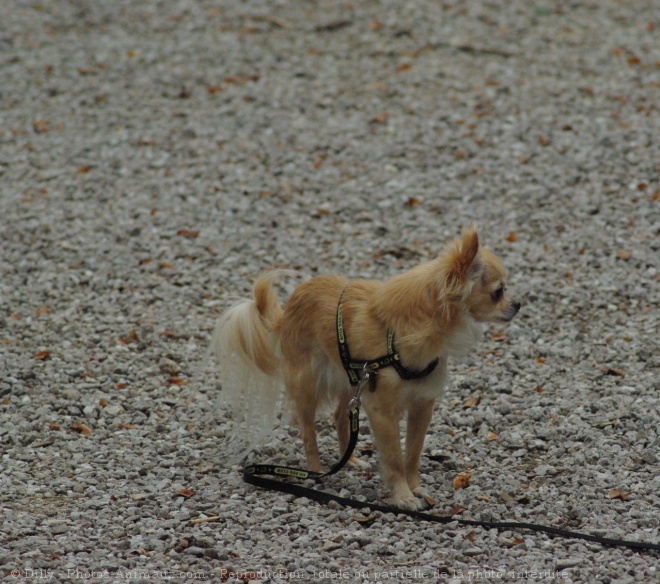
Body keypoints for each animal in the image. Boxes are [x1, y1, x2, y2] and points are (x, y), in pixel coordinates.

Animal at [214, 226, 520, 508]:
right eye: (498, 292)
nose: (517, 303)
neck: (403, 333)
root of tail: (288, 308)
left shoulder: (422, 405)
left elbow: (413, 452)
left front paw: (415, 487)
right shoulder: (382, 410)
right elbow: (395, 457)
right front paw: (403, 496)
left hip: (351, 383)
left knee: (341, 417)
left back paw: (348, 462)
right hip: (308, 385)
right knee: (309, 429)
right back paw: (315, 470)